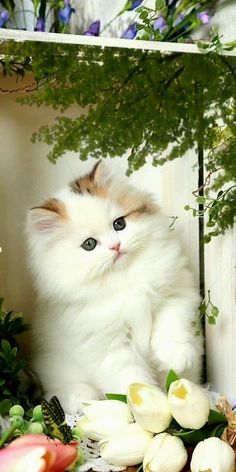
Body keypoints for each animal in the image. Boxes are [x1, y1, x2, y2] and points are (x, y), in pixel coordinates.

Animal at [26, 162, 203, 412]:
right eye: (89, 244)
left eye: (119, 224)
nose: (116, 246)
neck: (126, 279)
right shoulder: (109, 346)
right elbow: (132, 379)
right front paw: (150, 406)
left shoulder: (177, 293)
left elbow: (172, 325)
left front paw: (175, 356)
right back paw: (80, 398)